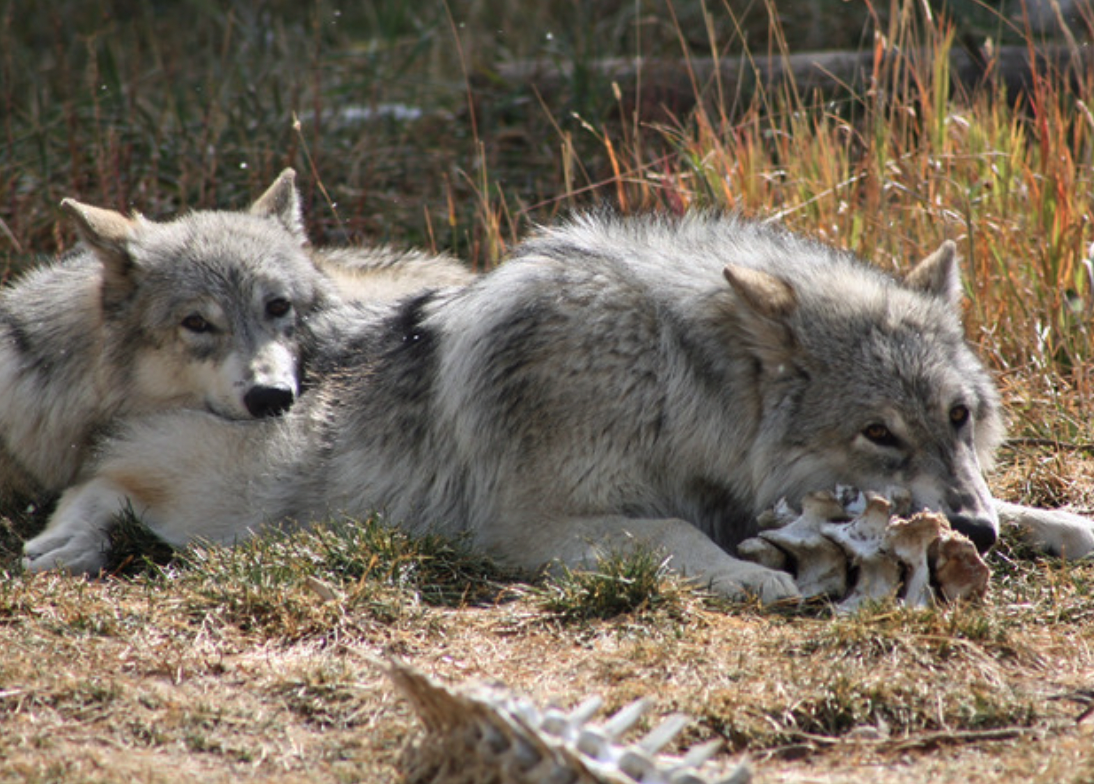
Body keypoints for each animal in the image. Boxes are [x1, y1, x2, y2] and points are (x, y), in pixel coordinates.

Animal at [19, 211, 1094, 594]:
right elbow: (675, 536)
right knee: (101, 483)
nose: (976, 537)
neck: (670, 381)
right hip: (239, 505)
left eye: (958, 418)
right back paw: (68, 543)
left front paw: (1064, 524)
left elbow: (1031, 506)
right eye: (878, 433)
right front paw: (758, 580)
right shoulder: (530, 526)